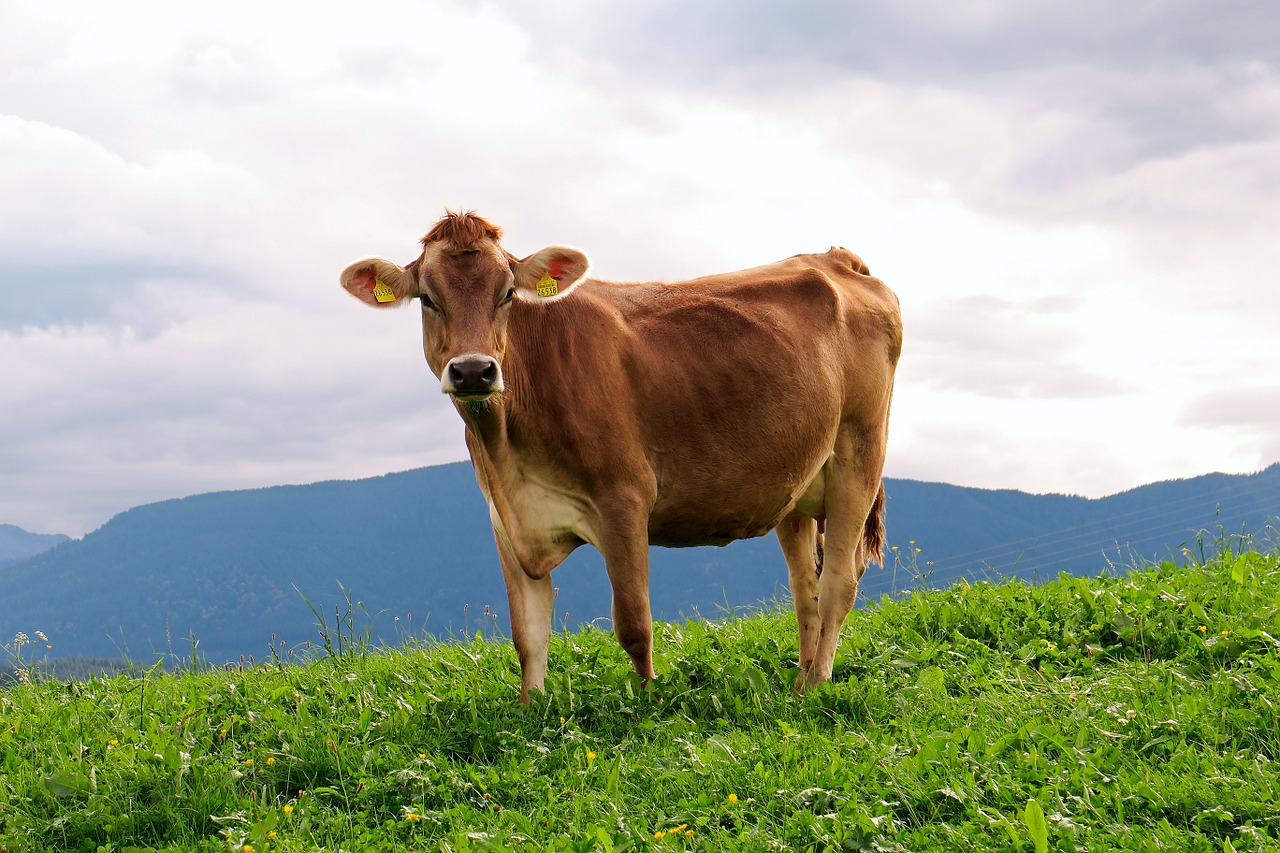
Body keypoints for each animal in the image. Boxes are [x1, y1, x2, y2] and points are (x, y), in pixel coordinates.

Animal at [340, 211, 901, 696]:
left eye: (507, 294)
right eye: (427, 299)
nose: (474, 371)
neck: (506, 450)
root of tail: (837, 258)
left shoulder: (624, 499)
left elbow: (634, 623)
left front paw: (649, 702)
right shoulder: (506, 519)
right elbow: (528, 634)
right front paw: (532, 709)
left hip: (860, 450)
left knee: (839, 582)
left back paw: (816, 684)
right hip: (796, 483)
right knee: (806, 587)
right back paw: (801, 679)